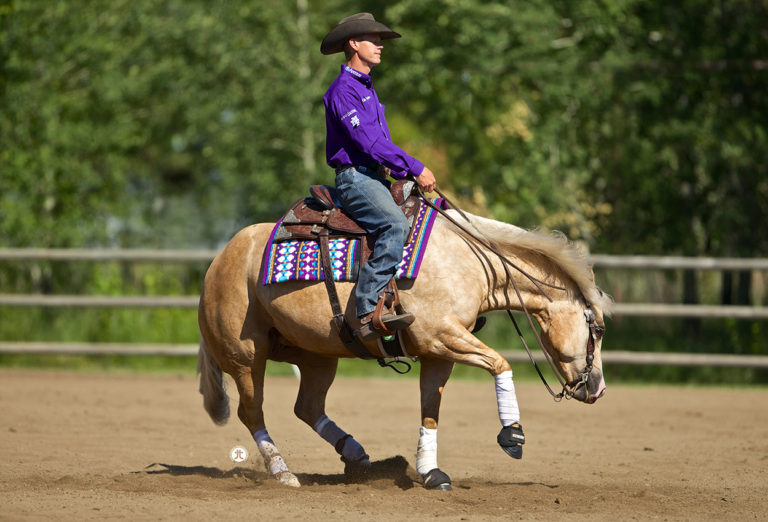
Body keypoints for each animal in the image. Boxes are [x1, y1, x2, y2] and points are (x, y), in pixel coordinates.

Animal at [197, 207, 611, 489]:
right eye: (598, 328)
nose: (598, 389)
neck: (469, 262)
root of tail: (219, 260)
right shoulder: (441, 336)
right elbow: (500, 363)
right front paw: (512, 434)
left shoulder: (438, 353)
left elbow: (430, 410)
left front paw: (430, 472)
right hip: (246, 357)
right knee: (252, 413)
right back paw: (283, 472)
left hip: (317, 356)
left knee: (307, 407)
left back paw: (357, 455)